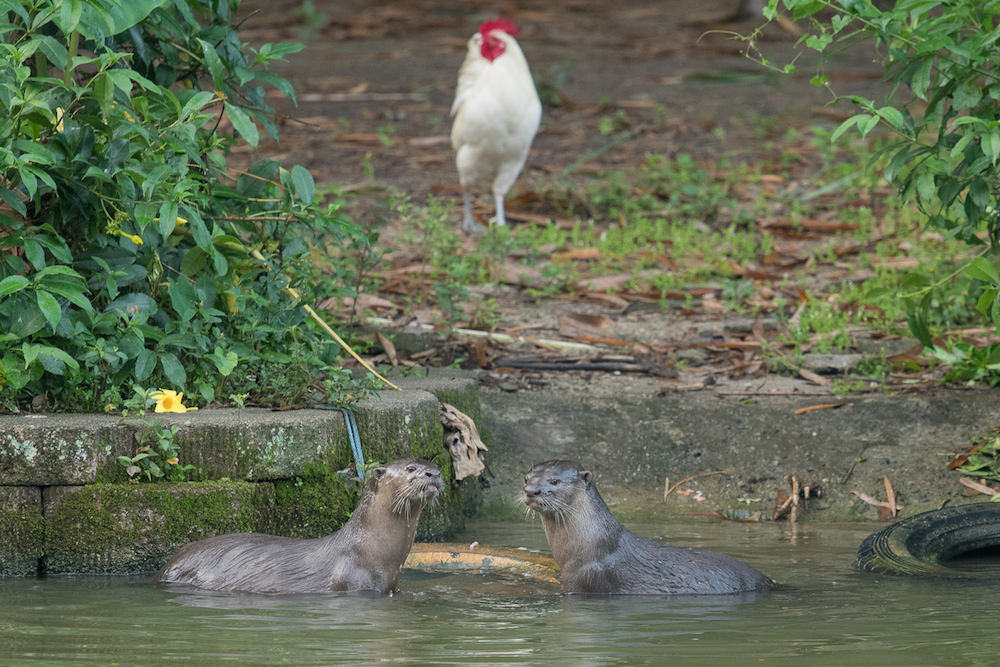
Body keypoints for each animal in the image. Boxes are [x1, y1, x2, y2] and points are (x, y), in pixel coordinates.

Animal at [523, 460, 775, 595]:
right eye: (526, 478)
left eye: (554, 481)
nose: (531, 491)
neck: (589, 543)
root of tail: (770, 583)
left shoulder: (583, 581)